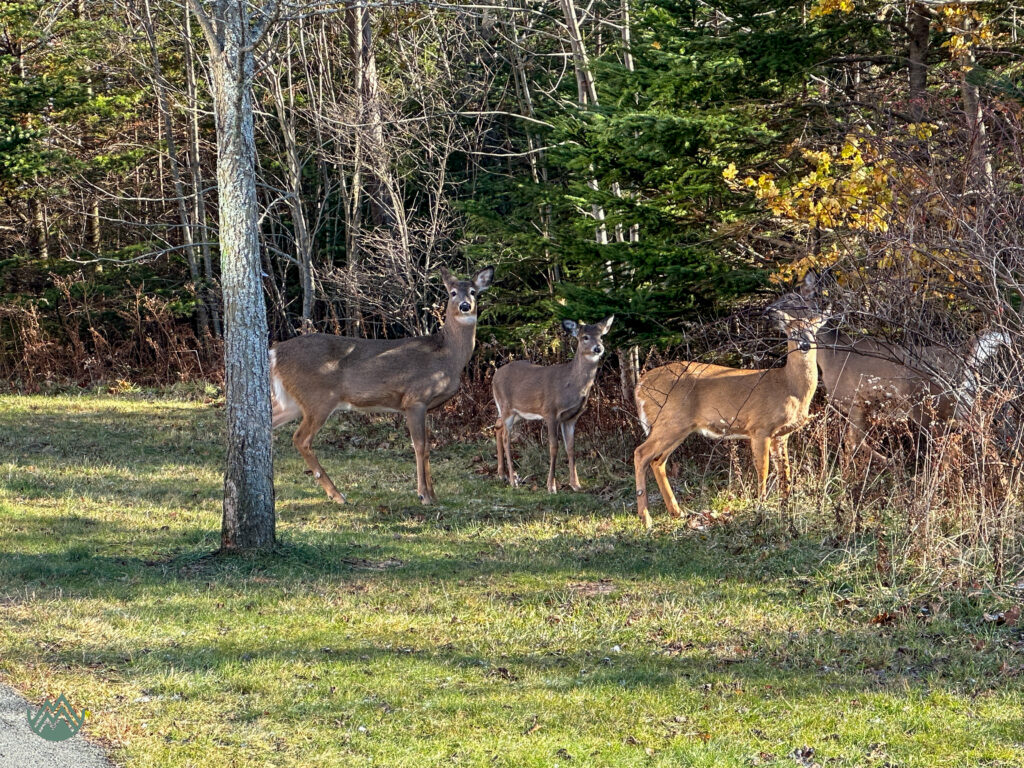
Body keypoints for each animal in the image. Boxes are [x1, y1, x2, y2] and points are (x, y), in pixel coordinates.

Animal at [270, 264, 493, 505]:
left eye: (473, 292)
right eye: (452, 293)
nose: (465, 306)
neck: (447, 356)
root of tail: (276, 352)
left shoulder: (426, 406)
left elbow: (427, 446)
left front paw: (433, 494)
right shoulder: (415, 399)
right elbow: (420, 446)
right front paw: (424, 495)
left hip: (293, 401)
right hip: (318, 398)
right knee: (300, 439)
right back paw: (337, 494)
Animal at [491, 317, 610, 493]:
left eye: (601, 336)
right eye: (585, 337)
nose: (598, 348)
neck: (570, 385)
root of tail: (495, 376)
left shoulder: (571, 418)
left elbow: (571, 447)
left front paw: (576, 484)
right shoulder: (550, 412)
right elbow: (554, 447)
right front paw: (551, 486)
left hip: (518, 412)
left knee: (497, 426)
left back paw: (501, 474)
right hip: (507, 408)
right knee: (506, 438)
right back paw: (513, 480)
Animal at [630, 309, 831, 528]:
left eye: (813, 330)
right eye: (792, 331)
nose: (806, 345)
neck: (789, 386)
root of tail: (640, 386)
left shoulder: (781, 435)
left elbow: (785, 472)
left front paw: (785, 507)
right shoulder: (760, 427)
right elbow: (763, 469)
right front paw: (761, 506)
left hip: (678, 427)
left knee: (657, 461)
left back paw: (677, 512)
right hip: (670, 421)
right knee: (640, 453)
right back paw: (646, 518)